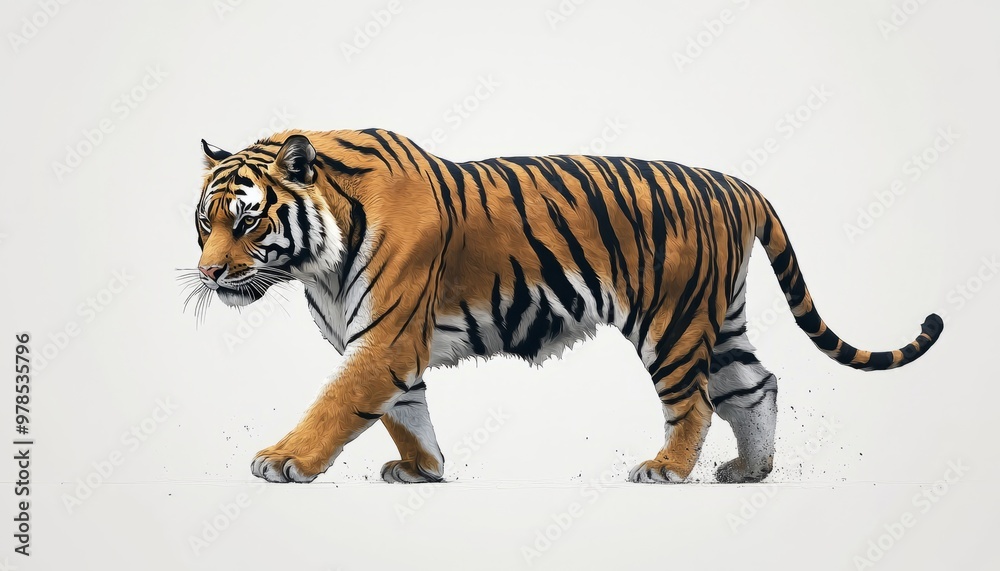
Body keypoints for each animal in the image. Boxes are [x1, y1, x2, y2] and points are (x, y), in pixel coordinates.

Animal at [189, 128, 943, 485]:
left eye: (248, 220)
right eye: (205, 221)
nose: (209, 272)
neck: (314, 263)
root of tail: (737, 183)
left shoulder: (386, 340)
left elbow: (337, 402)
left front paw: (283, 459)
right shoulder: (386, 346)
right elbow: (406, 413)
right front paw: (423, 469)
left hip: (673, 322)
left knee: (696, 401)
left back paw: (668, 469)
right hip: (719, 316)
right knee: (756, 385)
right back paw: (748, 472)